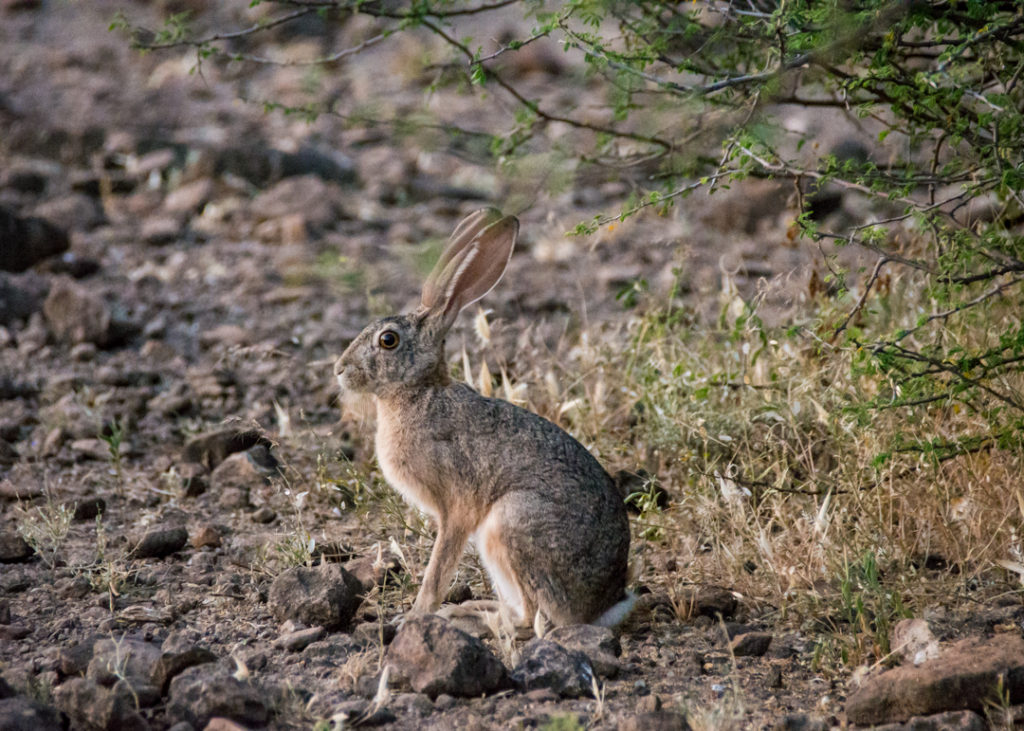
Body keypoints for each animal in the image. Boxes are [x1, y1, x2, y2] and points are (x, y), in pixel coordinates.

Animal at [335, 206, 630, 630]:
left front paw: (415, 616)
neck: (419, 392)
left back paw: (469, 618)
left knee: (533, 619)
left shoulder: (456, 508)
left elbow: (438, 569)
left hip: (510, 523)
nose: (339, 370)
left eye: (387, 340)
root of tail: (605, 605)